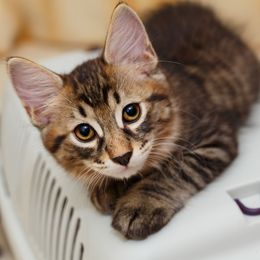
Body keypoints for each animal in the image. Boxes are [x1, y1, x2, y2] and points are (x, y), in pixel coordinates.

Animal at [7, 3, 258, 241]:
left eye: (131, 112)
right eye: (84, 132)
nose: (123, 157)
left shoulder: (214, 136)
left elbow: (176, 169)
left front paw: (141, 204)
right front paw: (109, 186)